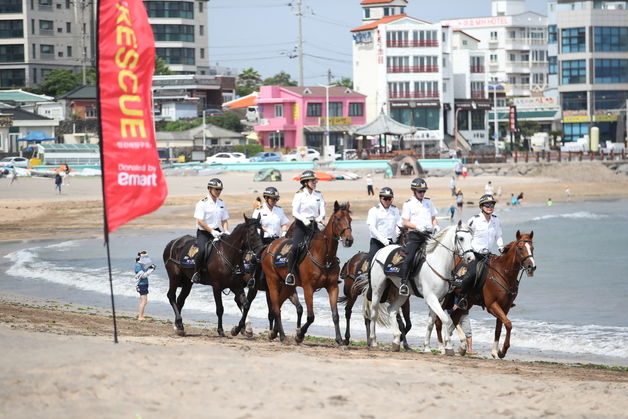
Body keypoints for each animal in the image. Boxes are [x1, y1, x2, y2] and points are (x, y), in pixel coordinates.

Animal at [260, 203, 354, 344]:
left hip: (288, 286)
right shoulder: (308, 288)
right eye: (338, 219)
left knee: (279, 304)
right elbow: (311, 317)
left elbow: (335, 315)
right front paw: (299, 334)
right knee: (276, 307)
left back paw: (274, 332)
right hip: (273, 282)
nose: (349, 240)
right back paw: (281, 335)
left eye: (350, 219)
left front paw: (339, 339)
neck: (324, 256)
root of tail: (269, 247)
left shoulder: (333, 287)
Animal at [360, 223, 474, 354]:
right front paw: (448, 347)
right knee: (374, 312)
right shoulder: (431, 298)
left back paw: (396, 341)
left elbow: (430, 323)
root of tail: (380, 251)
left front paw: (427, 347)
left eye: (471, 238)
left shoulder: (439, 300)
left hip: (402, 295)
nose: (471, 258)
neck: (437, 263)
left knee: (392, 310)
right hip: (377, 289)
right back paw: (373, 342)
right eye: (461, 238)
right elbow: (445, 319)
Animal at [432, 231, 536, 360]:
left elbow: (499, 328)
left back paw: (462, 347)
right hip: (445, 299)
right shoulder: (492, 305)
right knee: (438, 321)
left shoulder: (505, 307)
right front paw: (503, 350)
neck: (503, 273)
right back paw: (442, 348)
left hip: (466, 303)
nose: (531, 266)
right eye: (520, 248)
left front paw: (496, 352)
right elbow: (508, 324)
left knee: (454, 317)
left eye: (532, 248)